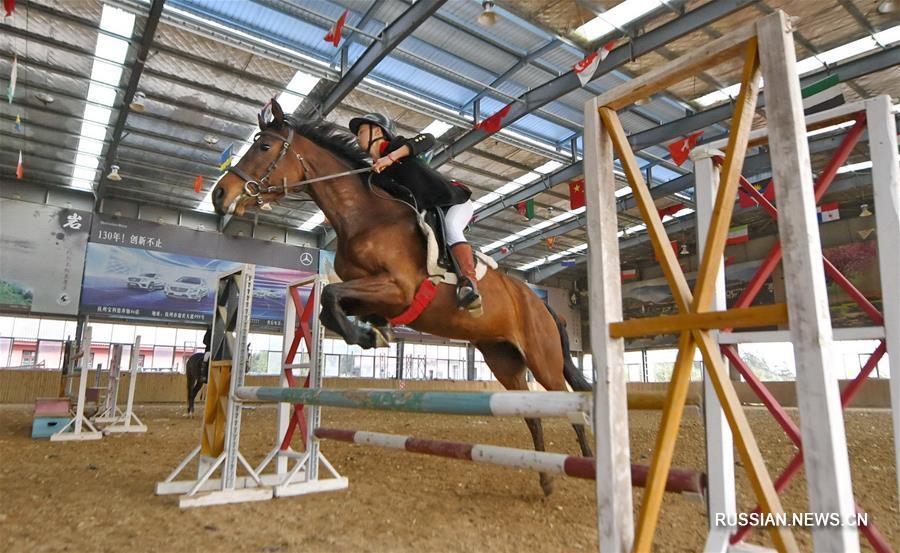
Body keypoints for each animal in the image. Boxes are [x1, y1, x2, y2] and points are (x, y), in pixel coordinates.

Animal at [209, 101, 592, 494]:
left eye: (264, 147)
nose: (219, 195)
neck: (364, 216)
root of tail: (541, 303)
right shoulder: (371, 293)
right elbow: (330, 308)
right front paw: (373, 333)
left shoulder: (398, 288)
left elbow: (330, 294)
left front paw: (370, 334)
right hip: (504, 361)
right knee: (532, 413)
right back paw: (546, 478)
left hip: (542, 358)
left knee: (569, 405)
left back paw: (588, 466)